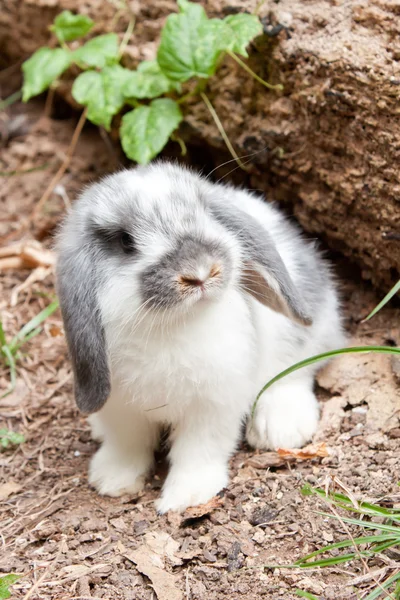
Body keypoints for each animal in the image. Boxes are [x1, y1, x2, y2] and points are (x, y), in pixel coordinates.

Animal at [55, 162, 344, 512]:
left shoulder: (212, 405)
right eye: (125, 241)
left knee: (295, 371)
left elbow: (198, 451)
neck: (171, 325)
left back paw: (280, 427)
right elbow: (128, 444)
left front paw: (187, 496)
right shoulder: (122, 408)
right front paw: (112, 481)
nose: (200, 271)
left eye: (203, 213)